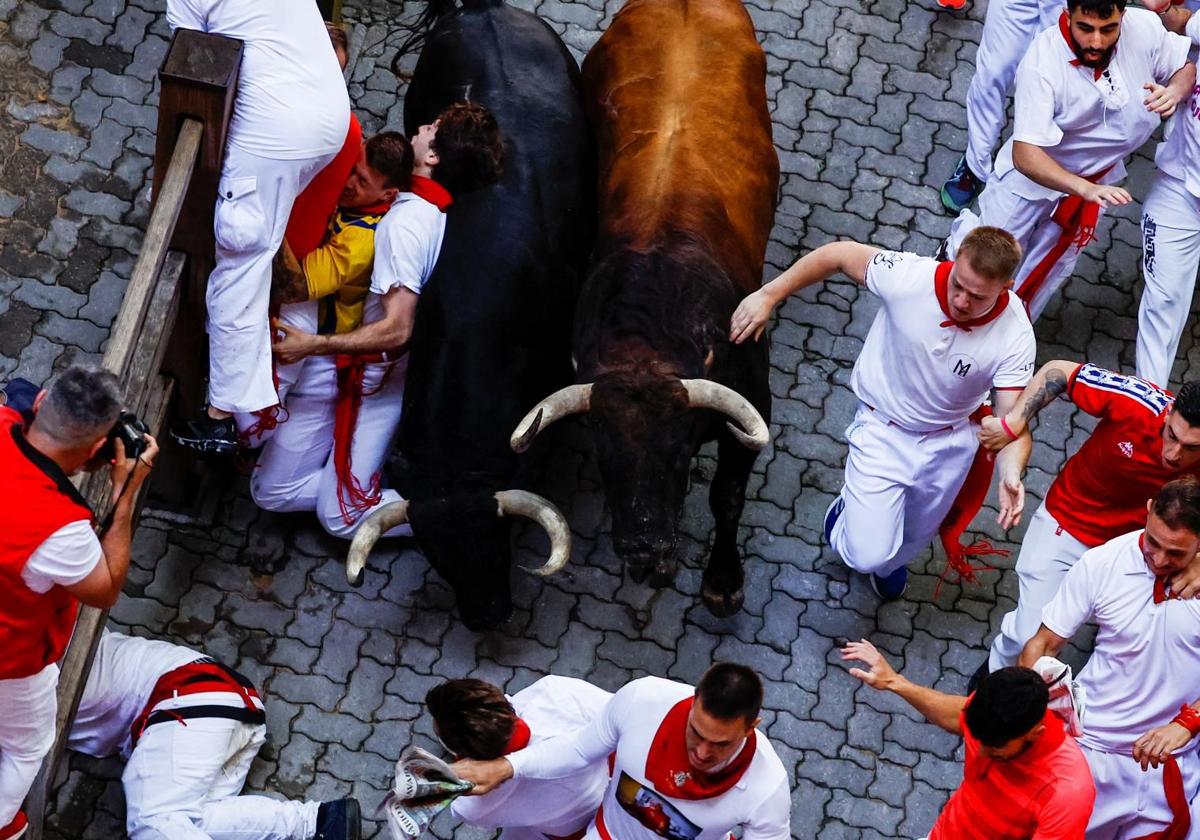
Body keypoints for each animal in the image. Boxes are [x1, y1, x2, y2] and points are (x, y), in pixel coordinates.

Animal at [508, 0, 777, 619]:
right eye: (606, 455)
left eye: (677, 451)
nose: (643, 549)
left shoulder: (751, 408)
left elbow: (727, 496)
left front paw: (722, 581)